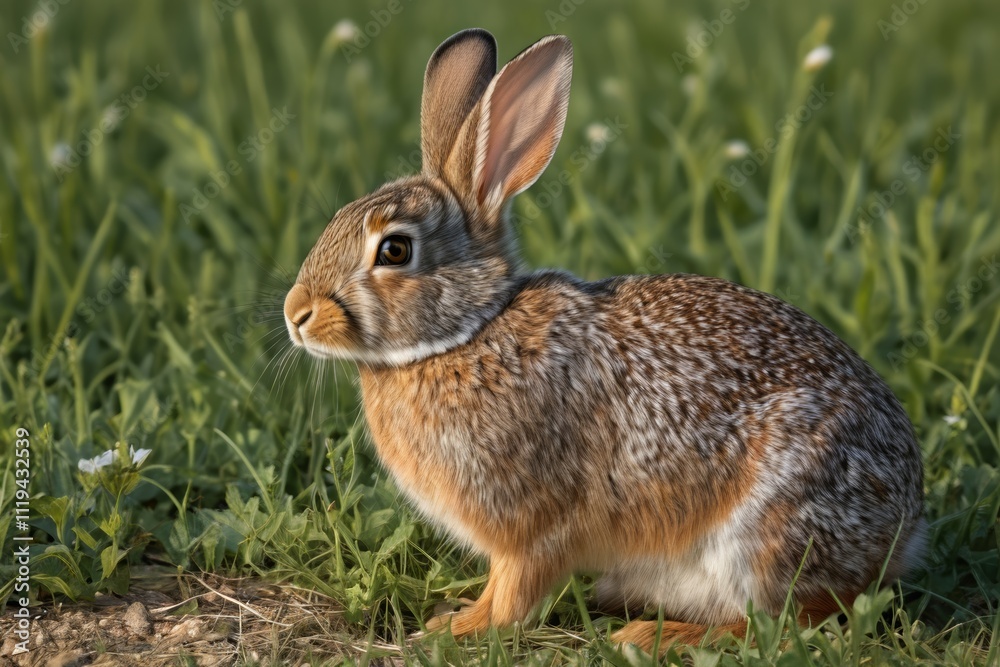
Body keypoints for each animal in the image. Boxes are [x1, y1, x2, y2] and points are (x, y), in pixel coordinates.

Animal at [283, 28, 926, 652]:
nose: (296, 315)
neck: (468, 334)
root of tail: (903, 526)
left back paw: (656, 636)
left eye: (395, 250)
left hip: (769, 531)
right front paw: (455, 617)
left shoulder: (534, 525)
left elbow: (514, 590)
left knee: (792, 619)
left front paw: (462, 627)